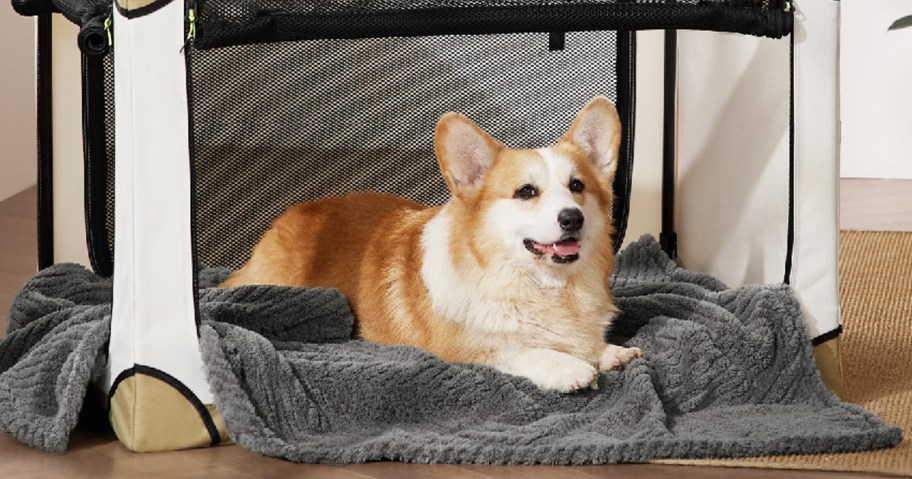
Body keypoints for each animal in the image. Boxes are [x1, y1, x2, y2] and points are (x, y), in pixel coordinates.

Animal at [222, 95, 644, 392]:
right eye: (526, 191)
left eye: (577, 186)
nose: (573, 218)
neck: (545, 287)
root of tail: (291, 214)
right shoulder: (465, 350)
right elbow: (521, 349)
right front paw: (570, 366)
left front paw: (610, 353)